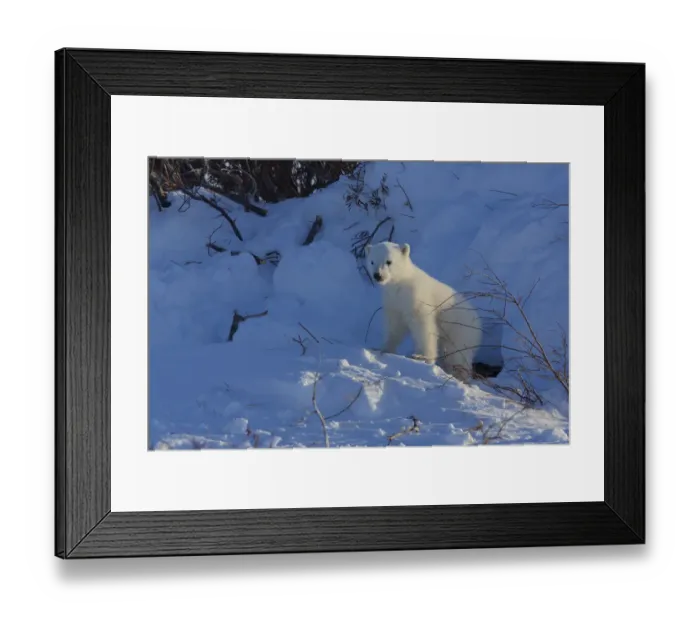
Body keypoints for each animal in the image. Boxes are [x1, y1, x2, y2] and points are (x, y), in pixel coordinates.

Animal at [365, 241, 482, 383]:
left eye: (389, 261)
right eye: (372, 261)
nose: (378, 275)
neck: (402, 284)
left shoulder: (418, 299)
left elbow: (423, 327)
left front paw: (421, 357)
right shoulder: (394, 302)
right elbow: (394, 325)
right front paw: (383, 349)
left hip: (460, 330)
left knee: (458, 353)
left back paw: (459, 375)